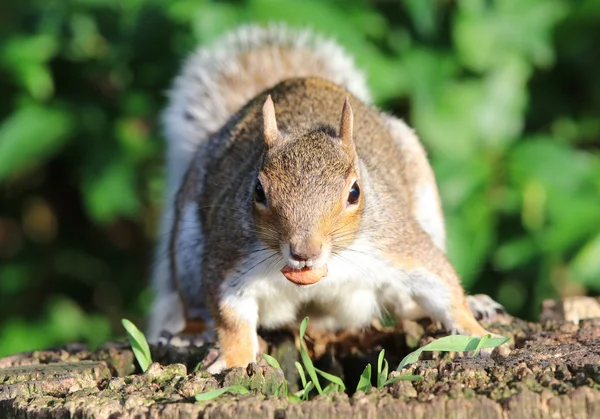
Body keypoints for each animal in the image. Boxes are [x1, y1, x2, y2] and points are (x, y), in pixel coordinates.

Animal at [148, 23, 504, 372]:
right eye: (258, 191)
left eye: (355, 192)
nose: (305, 252)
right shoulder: (232, 256)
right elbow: (231, 316)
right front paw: (233, 360)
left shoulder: (395, 242)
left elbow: (441, 282)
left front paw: (477, 334)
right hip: (187, 245)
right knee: (195, 304)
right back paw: (192, 333)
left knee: (403, 306)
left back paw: (473, 304)